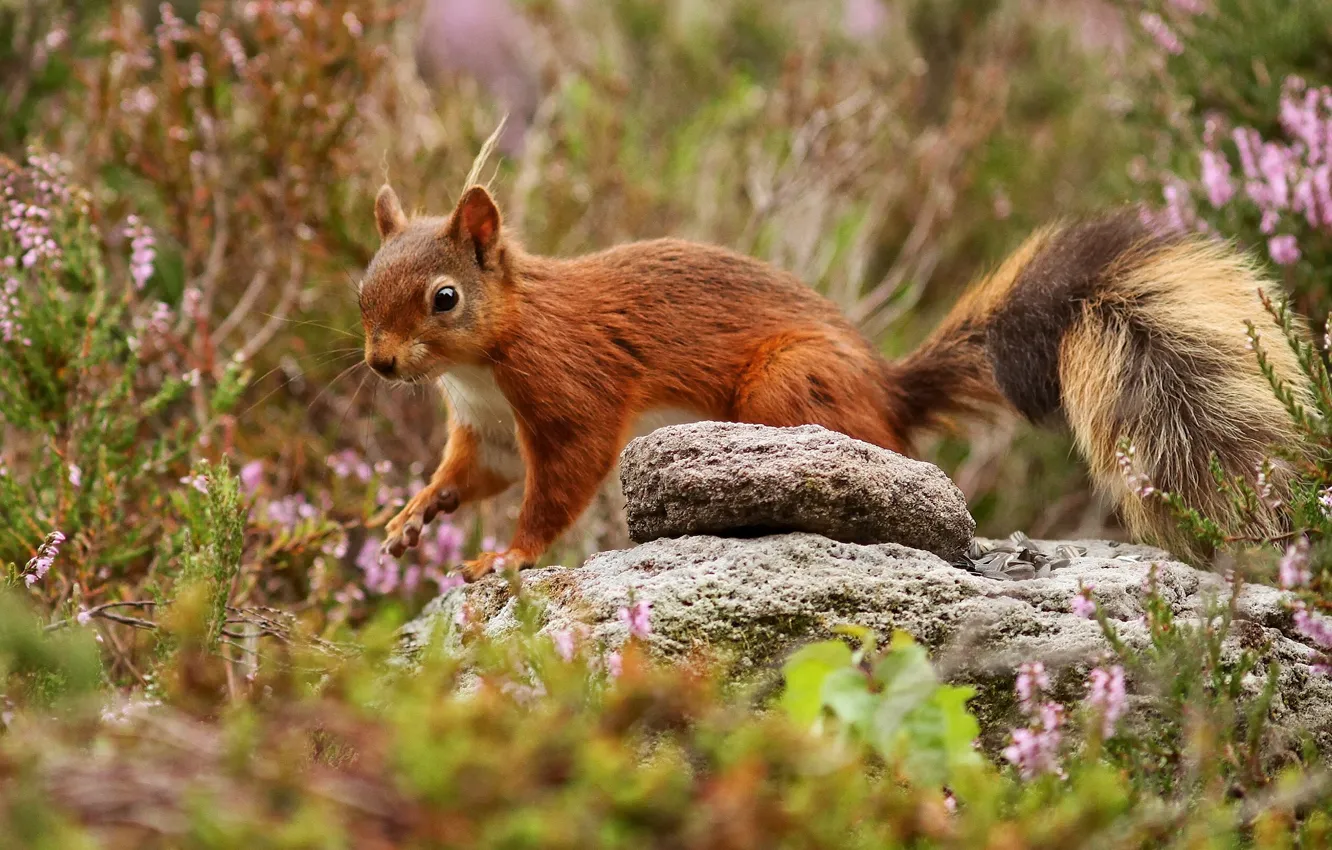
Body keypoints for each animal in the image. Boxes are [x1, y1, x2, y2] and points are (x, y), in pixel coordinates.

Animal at [356, 178, 1310, 580]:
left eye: (444, 298)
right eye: (362, 286)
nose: (379, 363)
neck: (481, 364)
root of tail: (889, 391)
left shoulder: (570, 389)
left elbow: (559, 483)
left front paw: (506, 556)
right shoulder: (486, 427)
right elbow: (470, 475)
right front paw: (410, 520)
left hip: (788, 386)